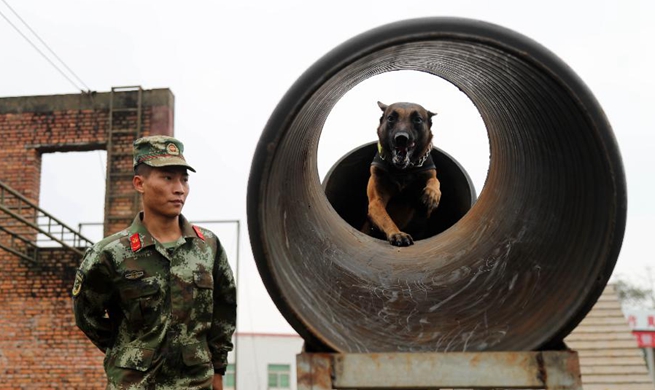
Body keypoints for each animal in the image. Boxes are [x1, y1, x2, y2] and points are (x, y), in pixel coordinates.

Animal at [364, 101, 440, 247]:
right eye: (391, 118)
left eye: (417, 119)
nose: (401, 138)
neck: (403, 171)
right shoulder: (376, 203)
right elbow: (385, 218)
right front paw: (397, 234)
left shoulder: (425, 211)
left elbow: (434, 180)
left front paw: (433, 193)